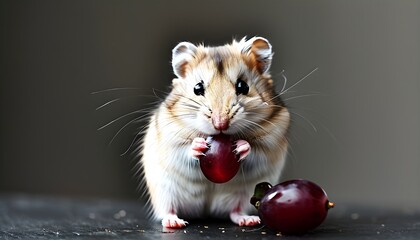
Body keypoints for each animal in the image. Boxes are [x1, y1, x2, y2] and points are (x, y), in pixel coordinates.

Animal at [140, 36, 288, 228]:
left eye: (243, 86)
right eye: (197, 88)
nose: (220, 124)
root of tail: (206, 212)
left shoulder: (271, 140)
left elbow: (255, 149)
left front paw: (241, 146)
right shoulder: (171, 138)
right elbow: (185, 149)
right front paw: (198, 145)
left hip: (244, 194)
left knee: (235, 211)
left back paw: (249, 220)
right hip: (164, 190)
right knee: (167, 210)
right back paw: (174, 222)